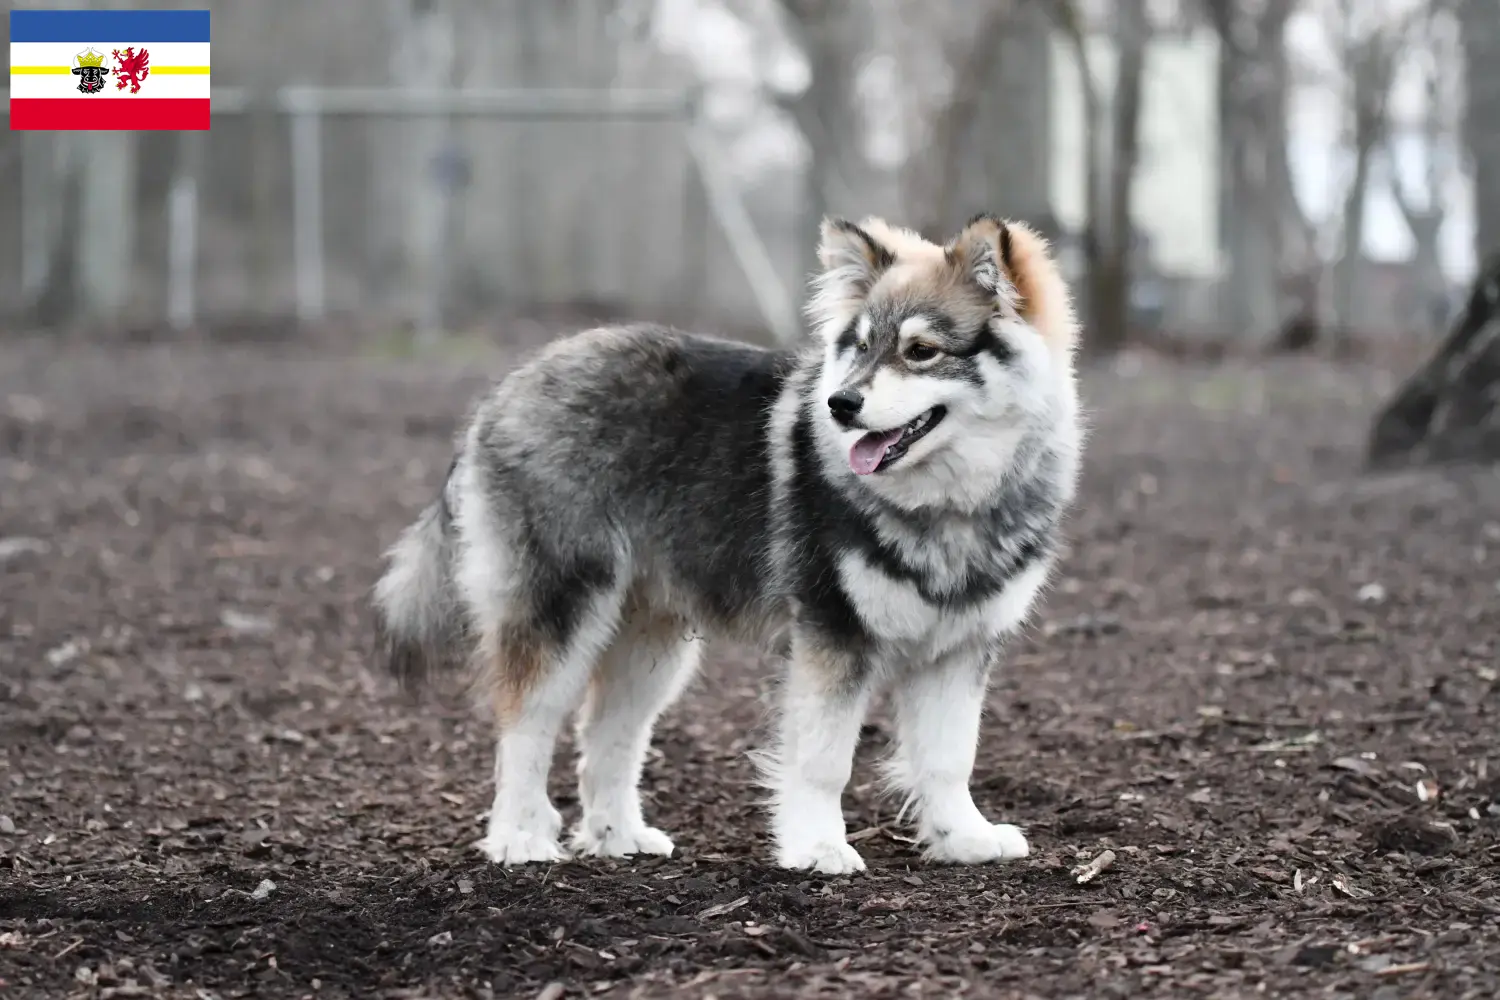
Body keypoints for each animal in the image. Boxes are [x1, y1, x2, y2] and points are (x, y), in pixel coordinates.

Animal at [373, 212, 1080, 875]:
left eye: (923, 350)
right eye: (858, 347)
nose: (840, 404)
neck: (949, 505)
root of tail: (507, 388)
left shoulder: (960, 648)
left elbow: (949, 759)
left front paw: (964, 838)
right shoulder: (833, 635)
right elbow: (824, 761)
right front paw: (819, 847)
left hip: (651, 641)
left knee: (608, 737)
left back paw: (618, 836)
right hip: (561, 608)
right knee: (526, 724)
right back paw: (519, 837)